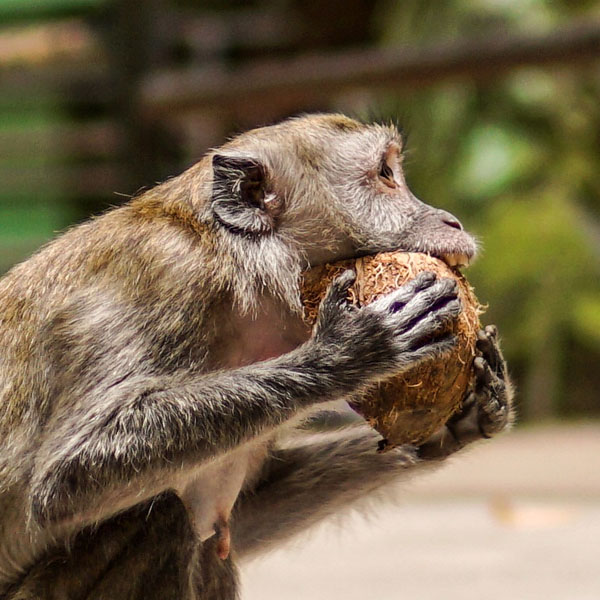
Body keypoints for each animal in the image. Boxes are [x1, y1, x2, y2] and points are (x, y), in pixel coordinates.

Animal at [0, 113, 510, 600]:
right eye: (385, 174)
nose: (452, 221)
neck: (239, 270)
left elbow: (237, 523)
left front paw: (457, 422)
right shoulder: (162, 275)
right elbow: (63, 479)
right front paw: (345, 355)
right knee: (163, 519)